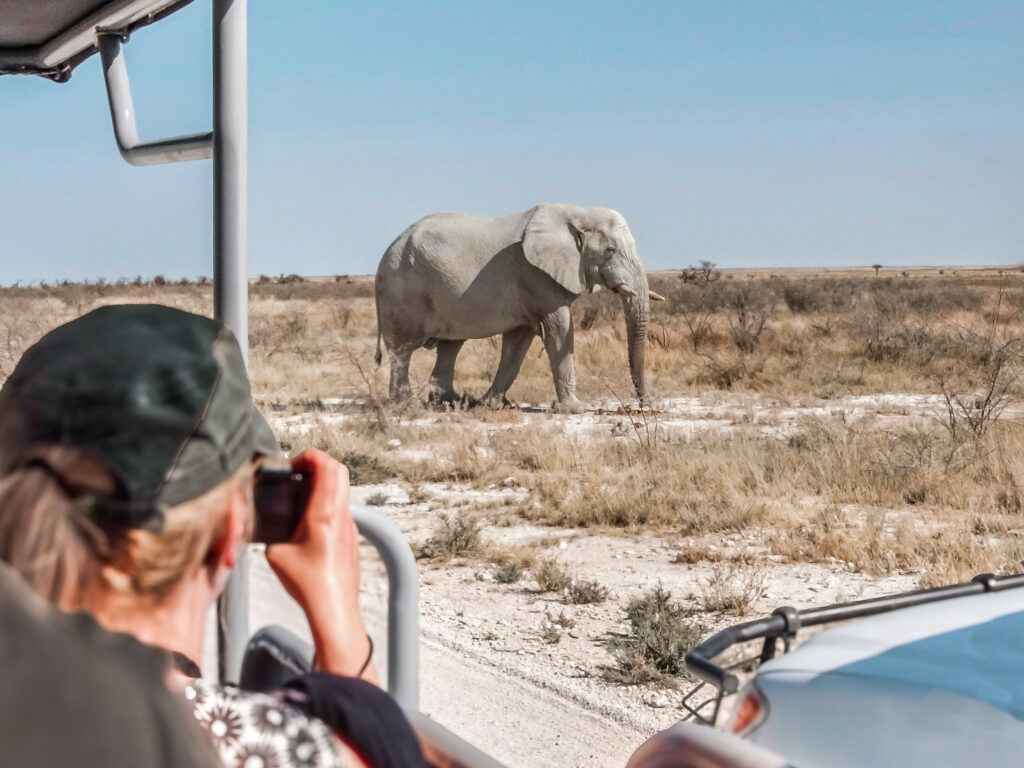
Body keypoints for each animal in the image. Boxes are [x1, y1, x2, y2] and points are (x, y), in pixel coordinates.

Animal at [372, 201, 659, 411]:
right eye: (610, 250)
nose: (644, 405)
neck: (578, 211)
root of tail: (390, 248)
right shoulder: (535, 275)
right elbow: (558, 330)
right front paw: (576, 408)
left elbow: (518, 342)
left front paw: (492, 404)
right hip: (401, 291)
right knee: (403, 350)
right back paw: (405, 404)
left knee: (450, 346)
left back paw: (451, 401)